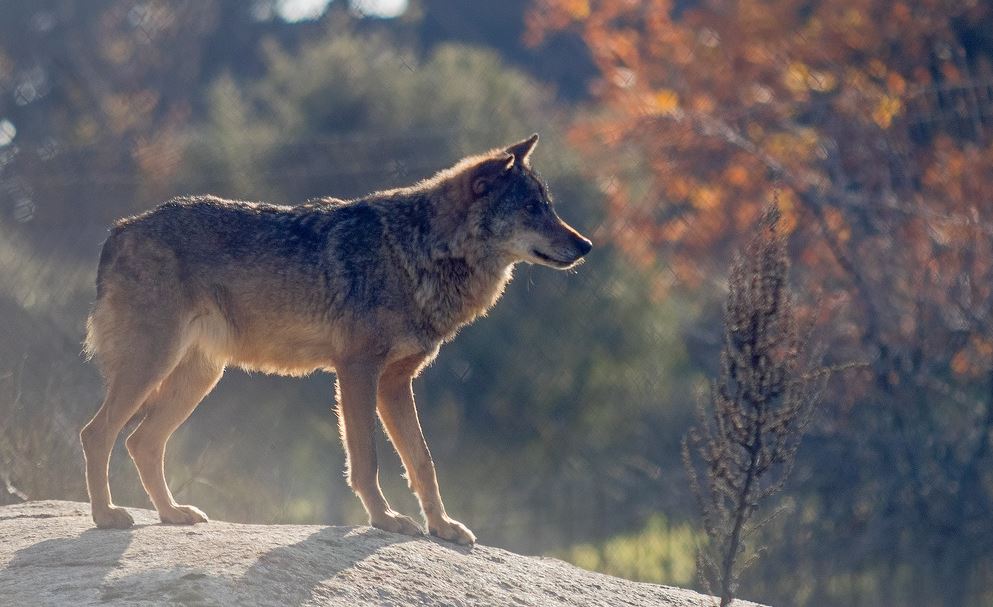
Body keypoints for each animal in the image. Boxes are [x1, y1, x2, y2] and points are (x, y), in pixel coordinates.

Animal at [80, 134, 592, 545]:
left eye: (549, 205)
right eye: (532, 209)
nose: (586, 246)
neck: (416, 251)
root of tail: (119, 228)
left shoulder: (396, 383)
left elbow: (423, 463)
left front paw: (442, 528)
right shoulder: (358, 371)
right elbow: (367, 460)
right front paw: (385, 520)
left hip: (199, 378)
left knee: (141, 442)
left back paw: (170, 513)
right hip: (154, 366)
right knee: (97, 434)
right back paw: (107, 516)